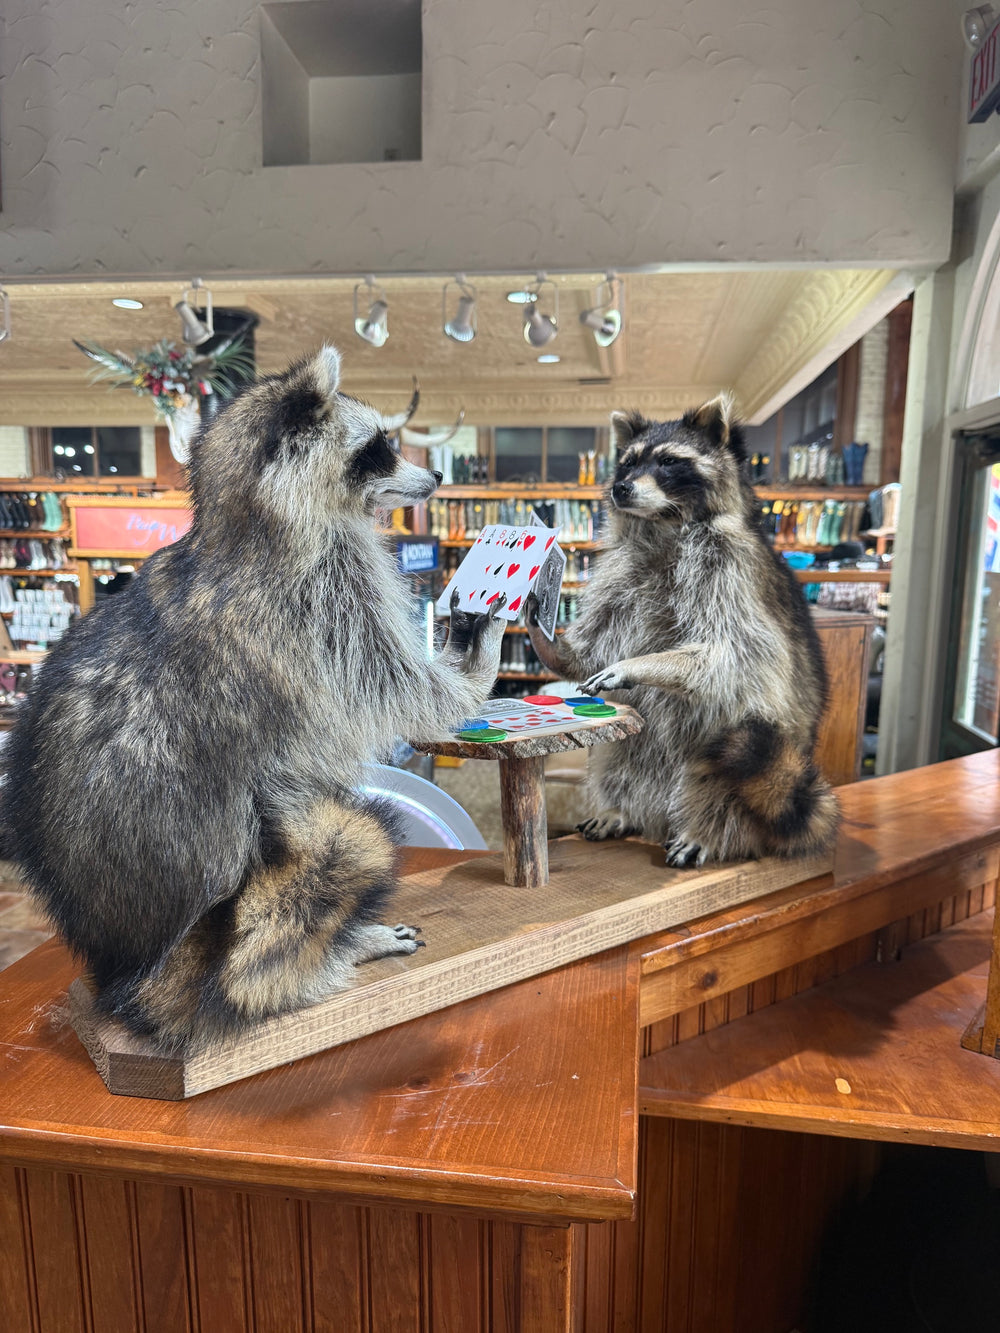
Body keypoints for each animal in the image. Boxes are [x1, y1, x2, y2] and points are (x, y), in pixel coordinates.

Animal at [2, 346, 505, 1050]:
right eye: (379, 447)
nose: (434, 475)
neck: (246, 519)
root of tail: (127, 968)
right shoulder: (324, 600)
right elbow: (404, 690)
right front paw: (475, 664)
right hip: (243, 881)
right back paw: (343, 946)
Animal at [528, 397, 838, 867]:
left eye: (669, 462)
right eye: (627, 463)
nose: (622, 489)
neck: (664, 523)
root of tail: (661, 820)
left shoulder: (731, 571)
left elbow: (729, 654)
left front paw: (641, 663)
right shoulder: (622, 575)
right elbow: (592, 650)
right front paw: (551, 643)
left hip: (753, 757)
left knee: (725, 781)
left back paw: (710, 830)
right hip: (636, 751)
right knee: (618, 759)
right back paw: (621, 809)